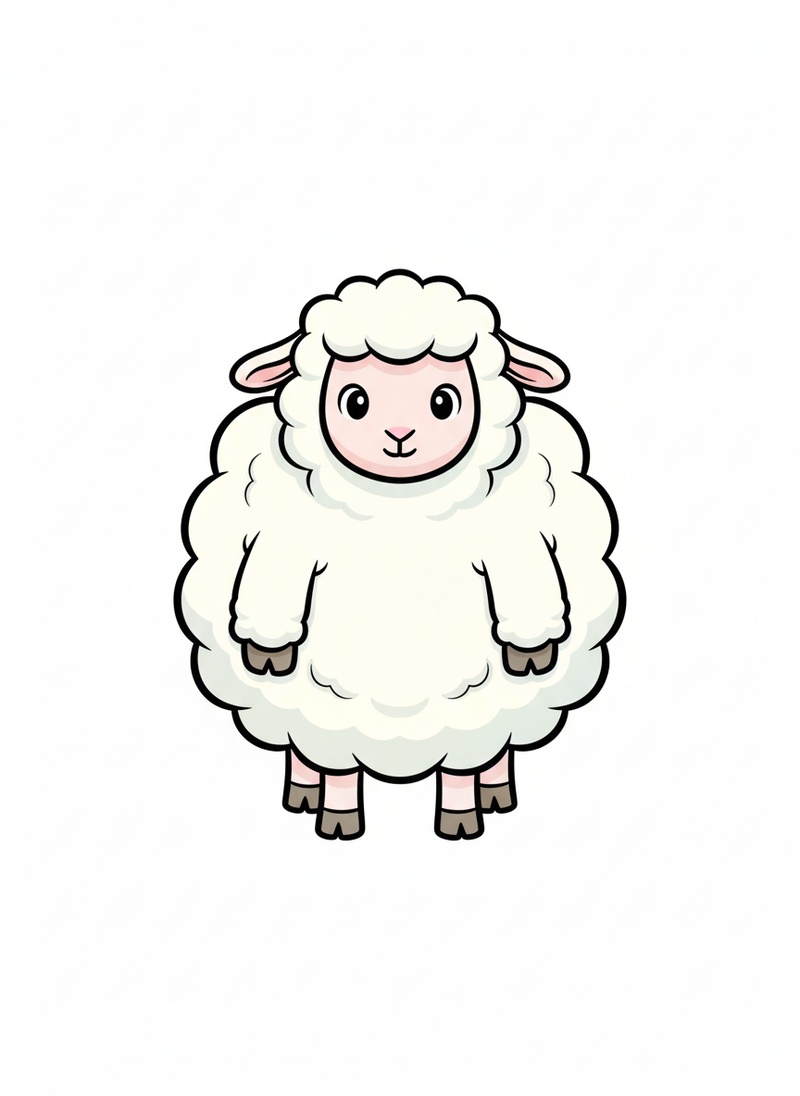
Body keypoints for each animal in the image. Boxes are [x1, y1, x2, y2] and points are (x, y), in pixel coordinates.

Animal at [175, 270, 624, 840]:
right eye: (355, 401)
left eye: (444, 401)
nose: (399, 436)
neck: (399, 501)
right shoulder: (285, 543)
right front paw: (338, 817)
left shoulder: (514, 544)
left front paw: (461, 817)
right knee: (312, 752)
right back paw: (307, 793)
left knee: (487, 753)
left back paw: (492, 793)